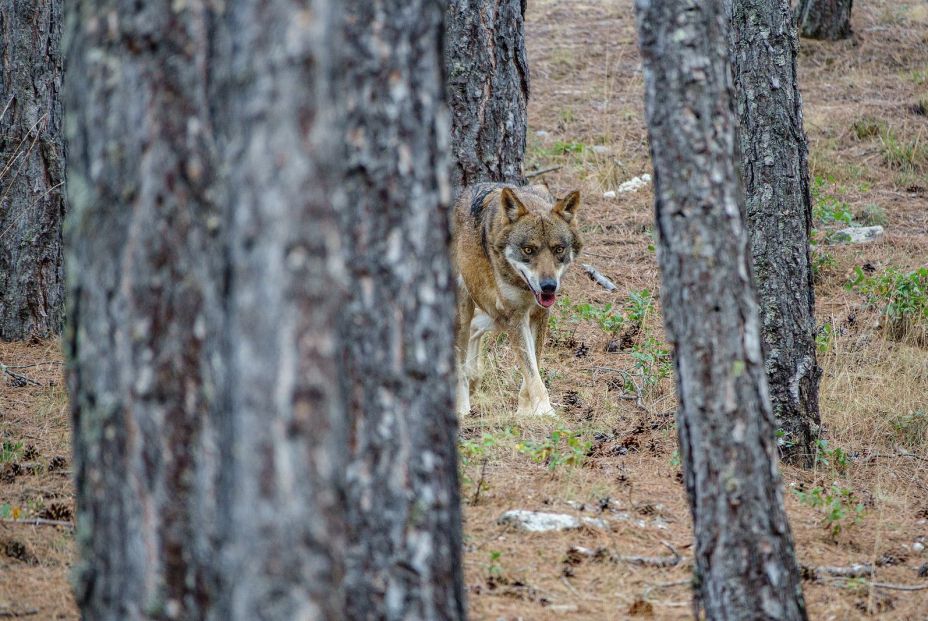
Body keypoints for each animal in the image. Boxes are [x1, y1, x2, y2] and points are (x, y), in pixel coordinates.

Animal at [454, 184, 584, 416]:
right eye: (528, 250)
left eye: (558, 249)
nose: (549, 286)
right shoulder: (515, 316)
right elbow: (531, 371)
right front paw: (544, 411)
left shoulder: (539, 314)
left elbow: (534, 364)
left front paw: (524, 412)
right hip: (466, 311)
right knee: (460, 362)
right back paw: (463, 408)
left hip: (494, 316)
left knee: (476, 329)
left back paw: (475, 378)